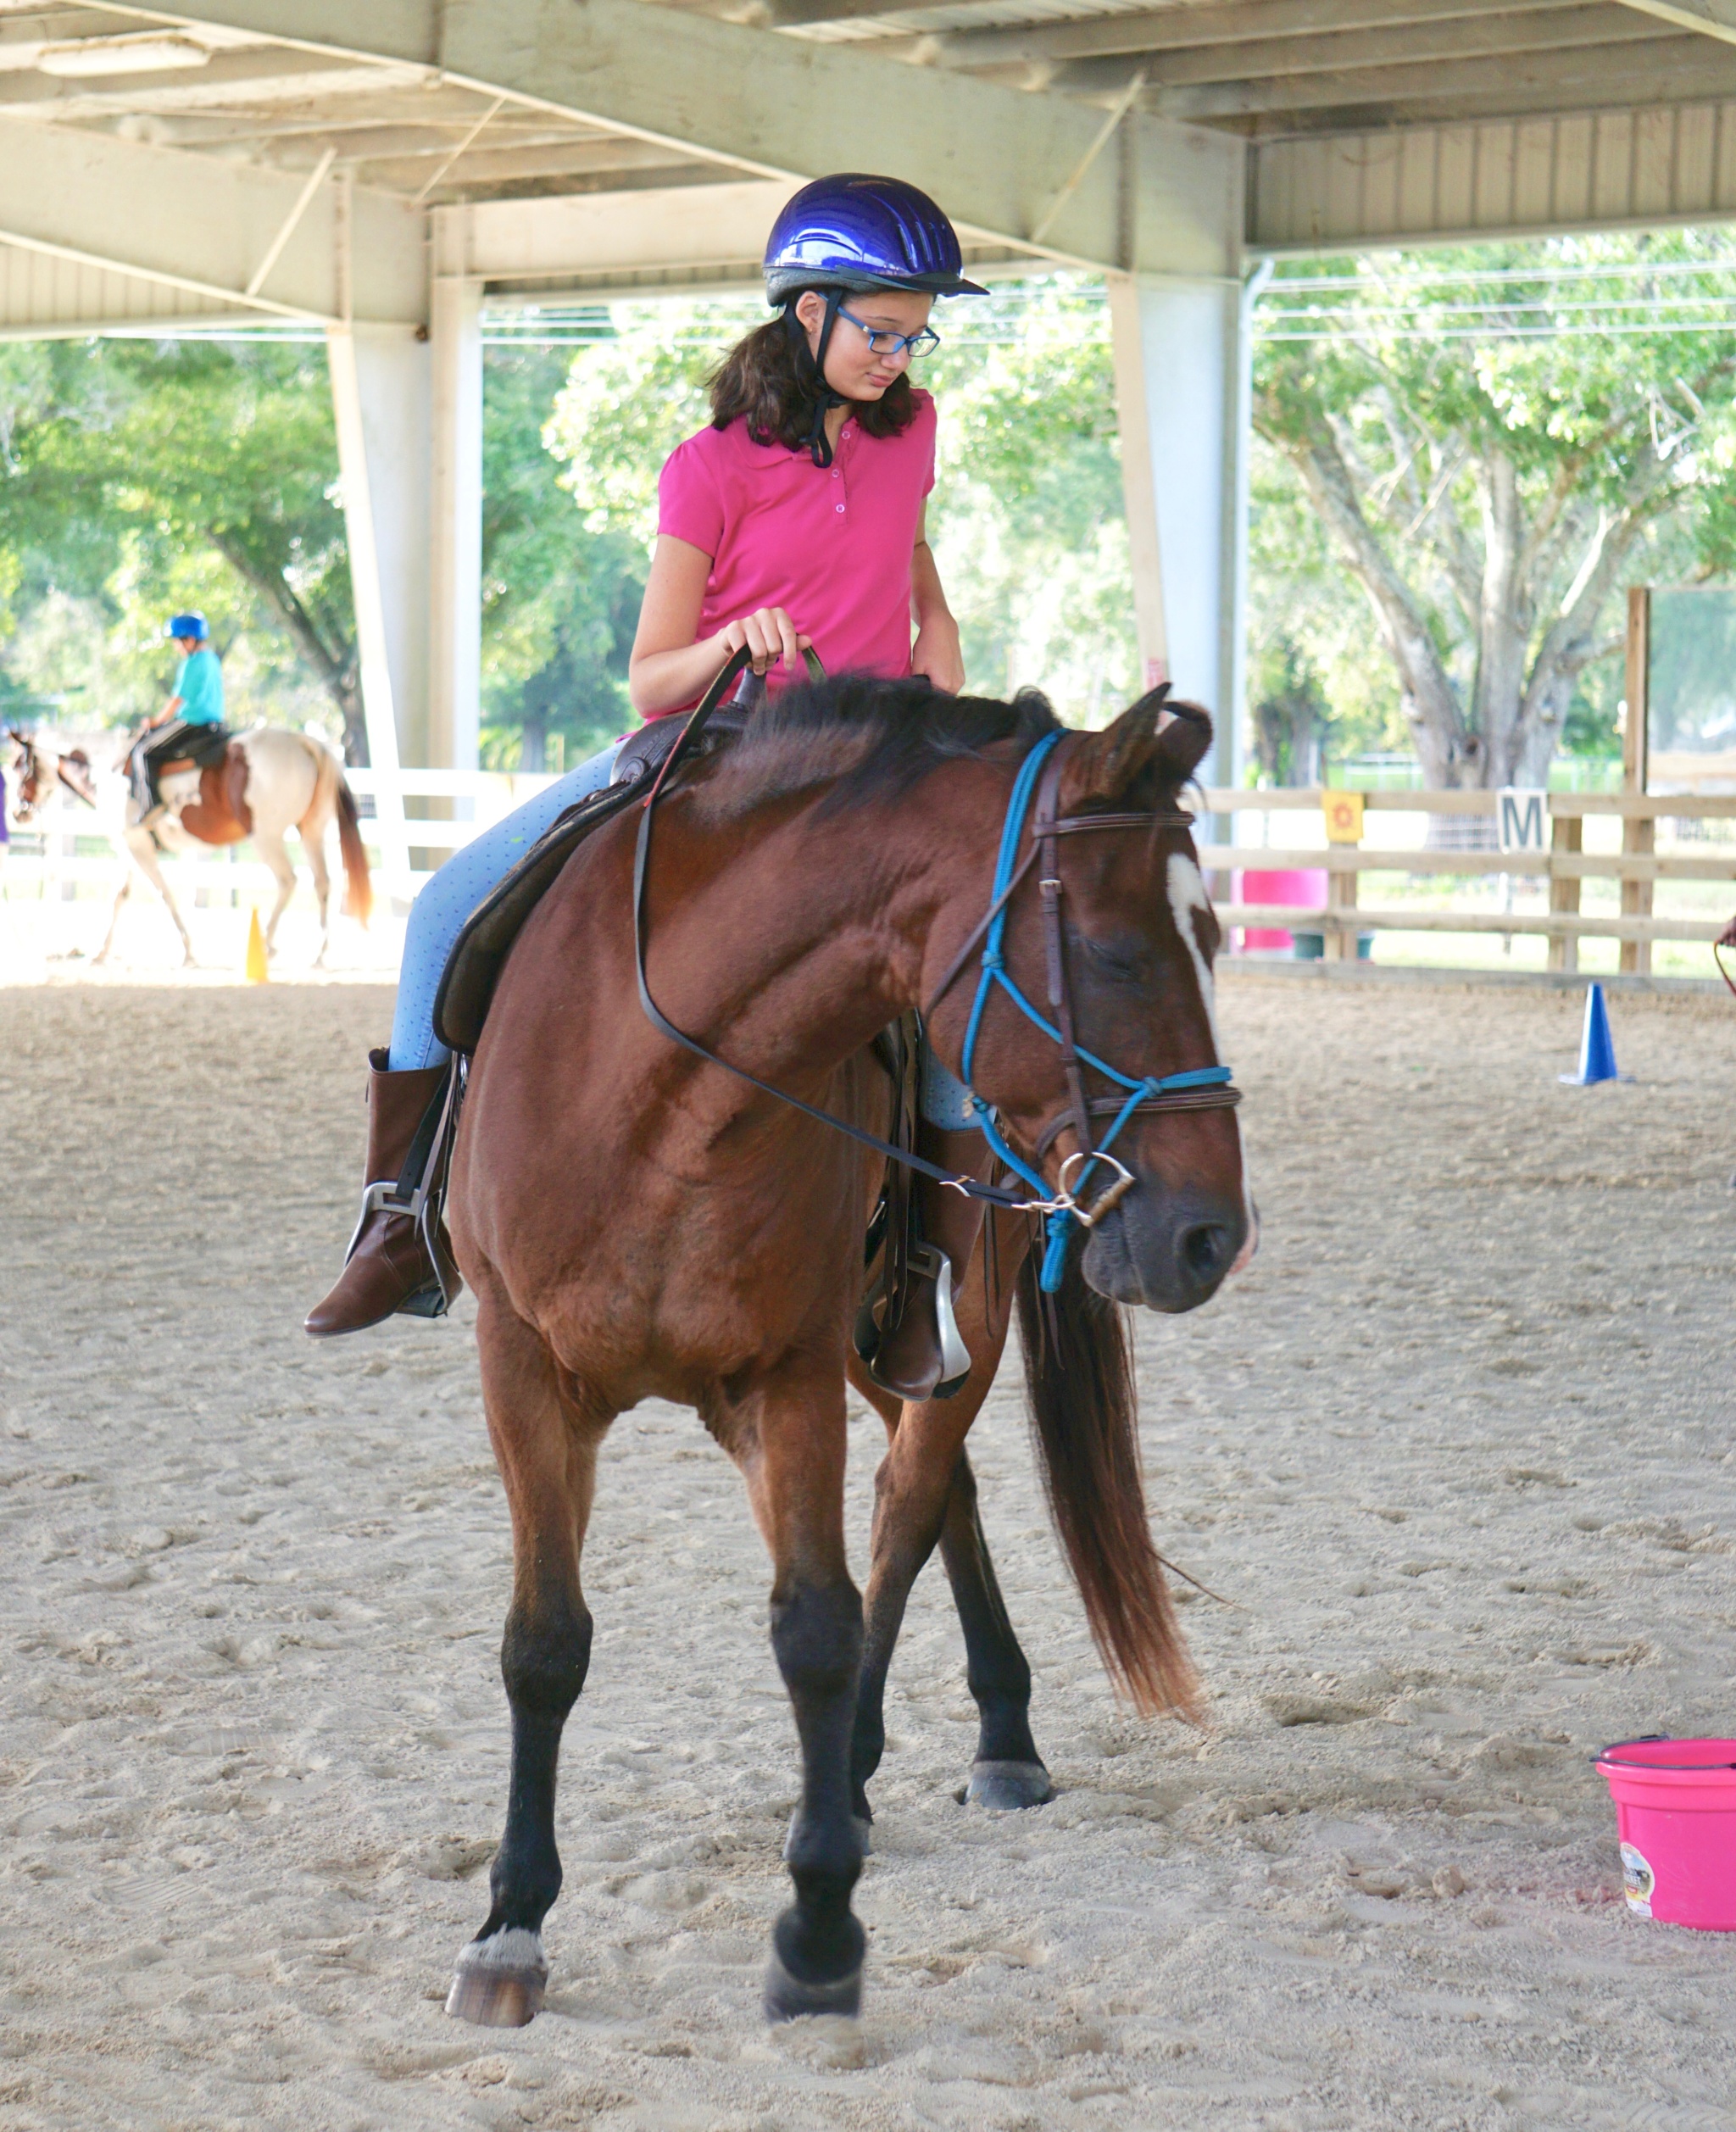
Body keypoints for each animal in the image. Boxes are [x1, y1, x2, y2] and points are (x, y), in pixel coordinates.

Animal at [441, 677, 1245, 2029]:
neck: (658, 1090)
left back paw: (921, 1759)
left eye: (1216, 939)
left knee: (910, 1501)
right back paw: (984, 1732)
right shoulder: (525, 1366)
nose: (1210, 1234)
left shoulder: (790, 1371)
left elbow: (818, 1624)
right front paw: (509, 1922)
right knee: (938, 1488)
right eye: (1114, 949)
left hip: (942, 1323)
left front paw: (817, 1921)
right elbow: (544, 1642)